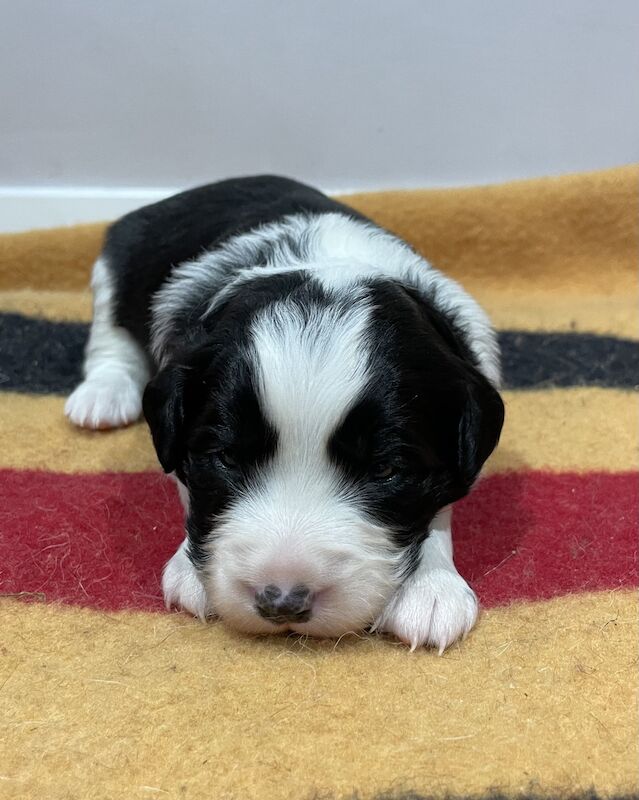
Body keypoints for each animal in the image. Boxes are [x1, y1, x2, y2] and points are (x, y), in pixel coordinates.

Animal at [66, 173, 504, 648]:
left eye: (386, 470)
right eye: (226, 458)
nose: (282, 602)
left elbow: (440, 507)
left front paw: (431, 587)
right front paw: (190, 570)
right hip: (122, 261)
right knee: (110, 331)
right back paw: (103, 395)